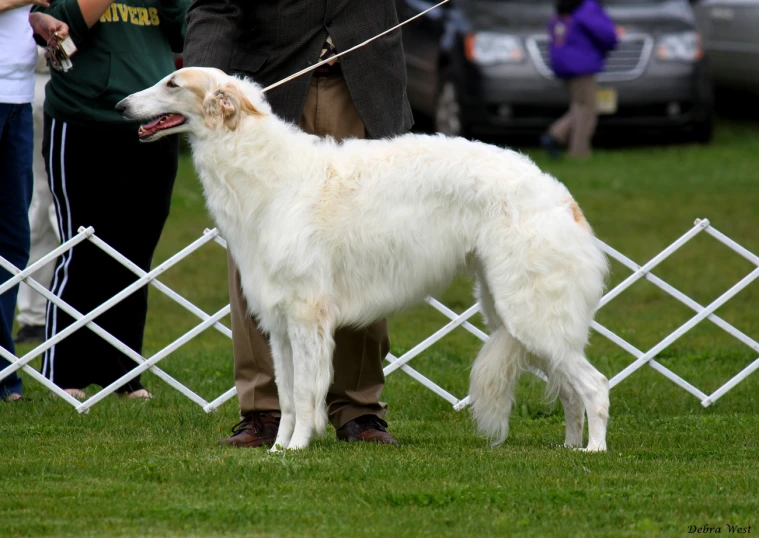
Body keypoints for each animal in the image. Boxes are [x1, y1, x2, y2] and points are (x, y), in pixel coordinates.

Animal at [120, 68, 616, 452]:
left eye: (172, 83)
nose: (121, 106)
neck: (268, 174)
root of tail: (562, 197)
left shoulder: (307, 315)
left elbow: (305, 392)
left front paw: (297, 448)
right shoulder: (279, 322)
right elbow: (286, 394)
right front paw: (277, 446)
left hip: (531, 312)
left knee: (595, 385)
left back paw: (594, 450)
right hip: (513, 312)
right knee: (570, 390)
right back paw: (570, 445)